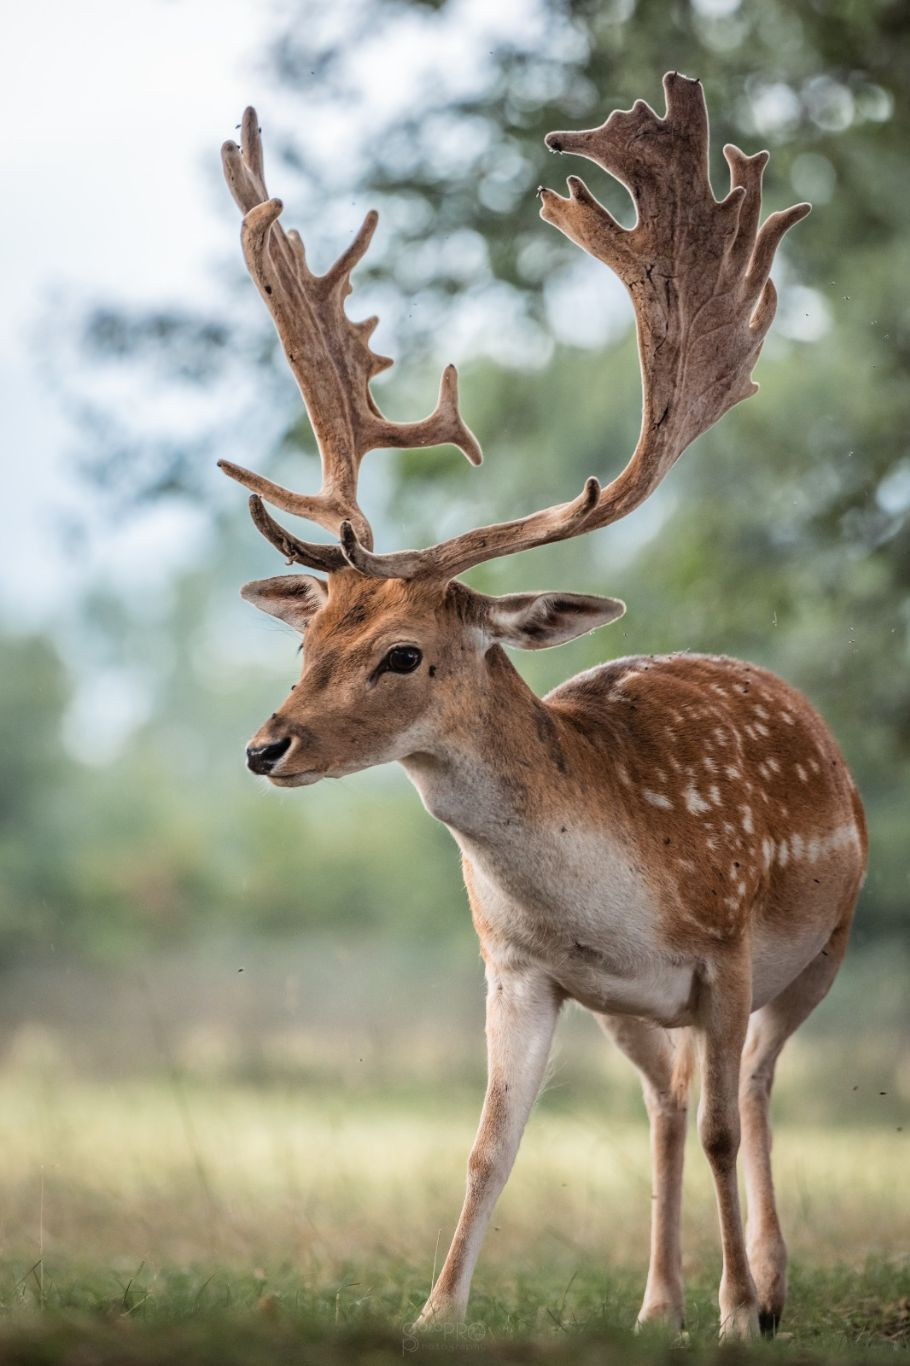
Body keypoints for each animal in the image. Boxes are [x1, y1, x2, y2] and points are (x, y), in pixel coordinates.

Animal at [218, 69, 863, 1338]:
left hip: (823, 943)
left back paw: (764, 1287)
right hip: (634, 1012)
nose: (268, 747)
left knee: (753, 1092)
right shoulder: (519, 967)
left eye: (403, 653)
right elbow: (487, 1147)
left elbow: (730, 1124)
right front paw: (434, 1314)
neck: (614, 886)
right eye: (311, 634)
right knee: (668, 1103)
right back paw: (656, 1303)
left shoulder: (725, 952)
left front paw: (737, 1313)